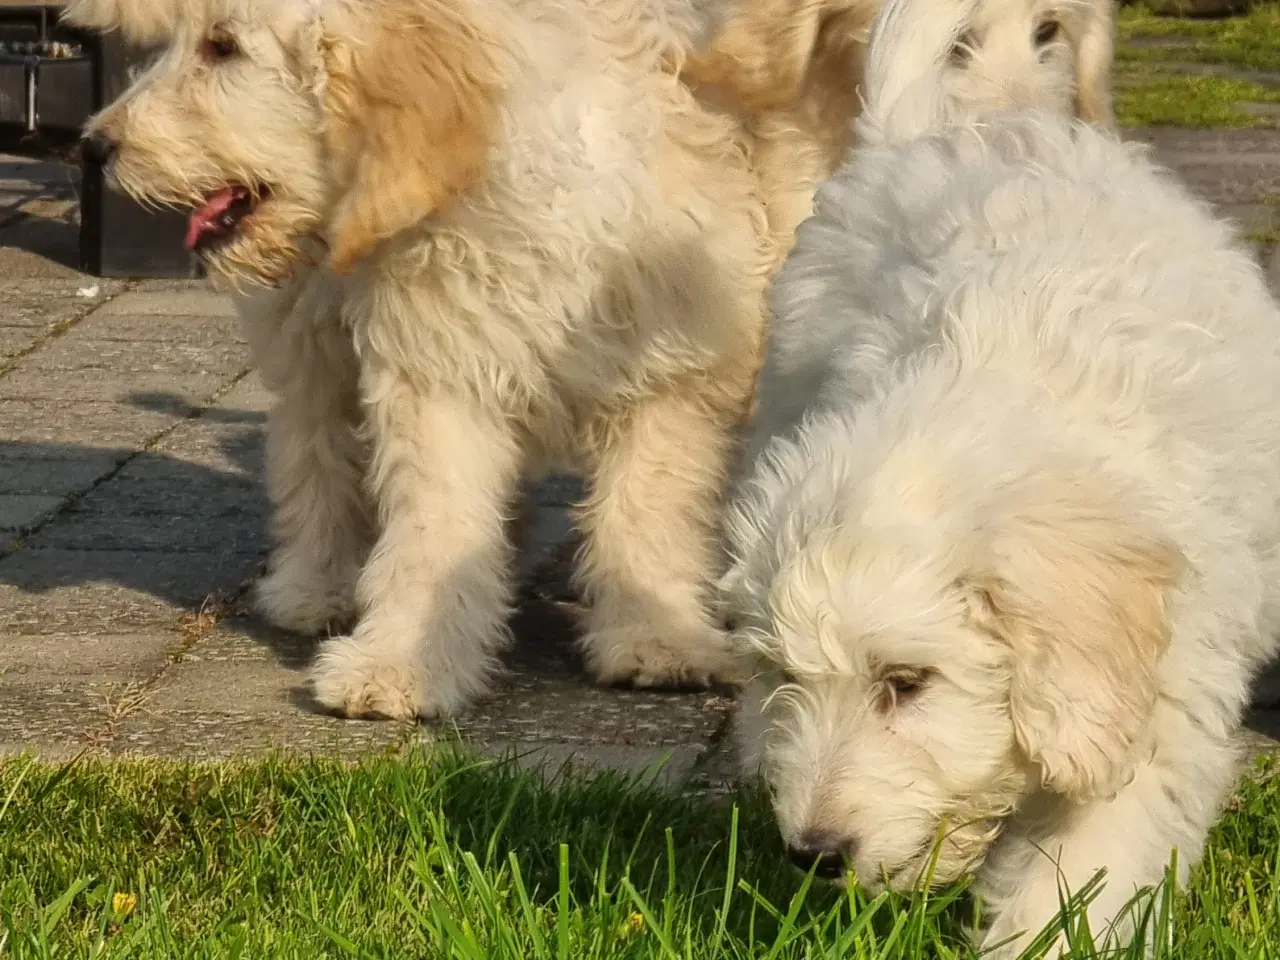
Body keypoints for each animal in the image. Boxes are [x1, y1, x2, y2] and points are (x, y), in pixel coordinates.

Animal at [72, 0, 788, 721]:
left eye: (222, 48)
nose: (95, 145)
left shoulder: (667, 372)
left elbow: (649, 512)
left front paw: (658, 639)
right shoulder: (441, 374)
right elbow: (434, 521)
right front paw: (401, 664)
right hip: (313, 343)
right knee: (317, 454)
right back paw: (318, 586)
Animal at [721, 0, 1280, 957]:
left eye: (907, 681)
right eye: (782, 675)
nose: (814, 853)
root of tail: (923, 135)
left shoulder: (1153, 705)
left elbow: (1082, 870)